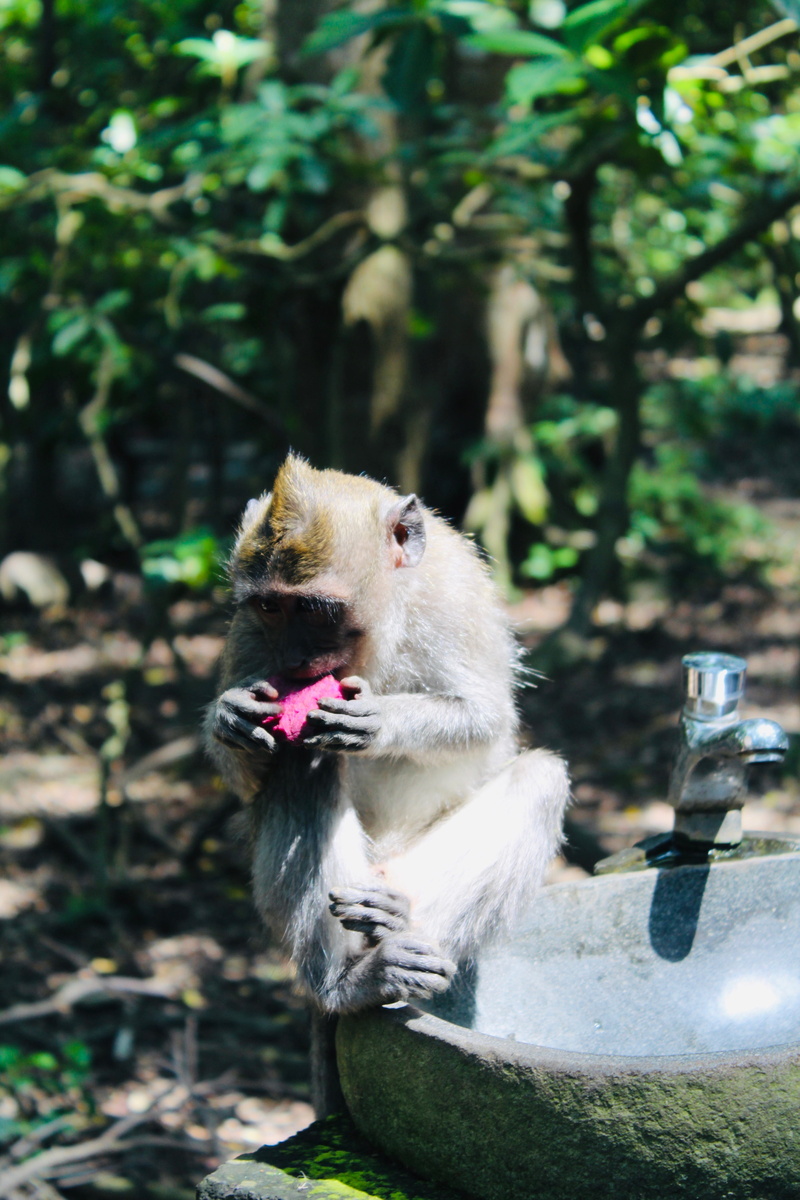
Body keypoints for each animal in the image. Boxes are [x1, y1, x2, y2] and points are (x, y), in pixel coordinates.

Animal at [204, 454, 569, 1015]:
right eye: (271, 607)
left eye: (314, 610)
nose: (293, 658)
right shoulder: (248, 632)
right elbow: (248, 776)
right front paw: (229, 718)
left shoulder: (451, 593)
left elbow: (486, 717)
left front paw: (380, 720)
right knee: (302, 764)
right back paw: (347, 980)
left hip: (410, 870)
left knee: (540, 779)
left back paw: (396, 921)